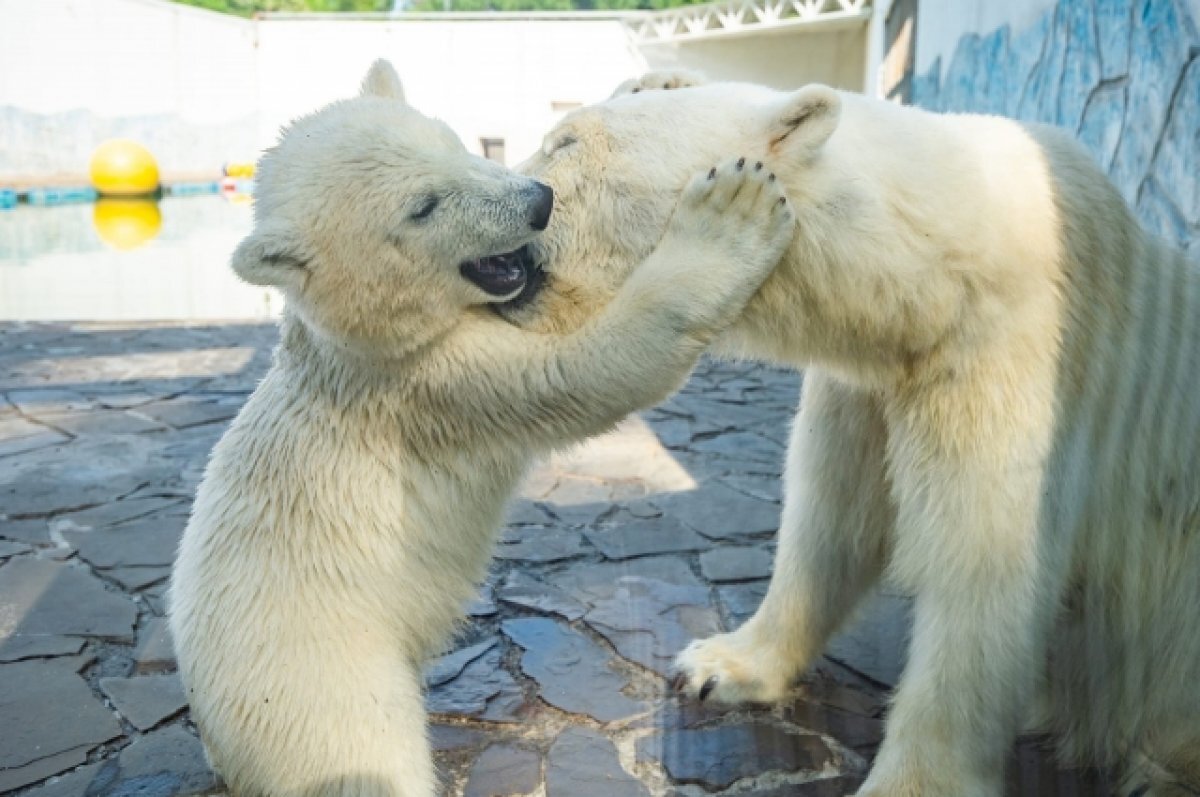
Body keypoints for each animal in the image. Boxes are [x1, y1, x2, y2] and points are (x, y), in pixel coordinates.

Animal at [506, 76, 1200, 797]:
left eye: (564, 141)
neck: (936, 278)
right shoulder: (870, 385)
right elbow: (832, 516)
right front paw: (719, 664)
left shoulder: (1018, 361)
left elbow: (983, 564)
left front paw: (914, 782)